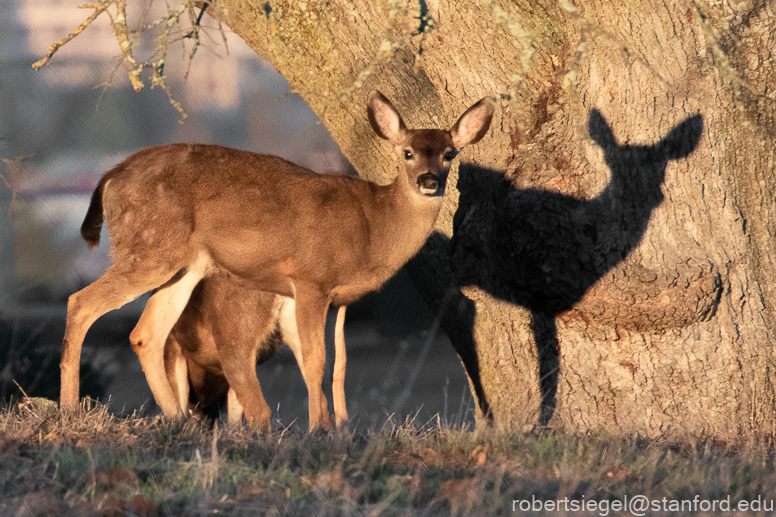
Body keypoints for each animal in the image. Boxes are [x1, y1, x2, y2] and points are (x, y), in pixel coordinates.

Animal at [63, 90, 494, 430]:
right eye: (407, 152)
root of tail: (109, 176)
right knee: (81, 303)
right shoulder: (310, 278)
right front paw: (318, 431)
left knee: (146, 333)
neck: (372, 227)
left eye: (449, 153)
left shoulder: (306, 296)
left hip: (182, 265)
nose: (429, 182)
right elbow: (318, 360)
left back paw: (179, 421)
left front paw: (328, 430)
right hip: (149, 249)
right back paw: (69, 410)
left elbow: (323, 363)